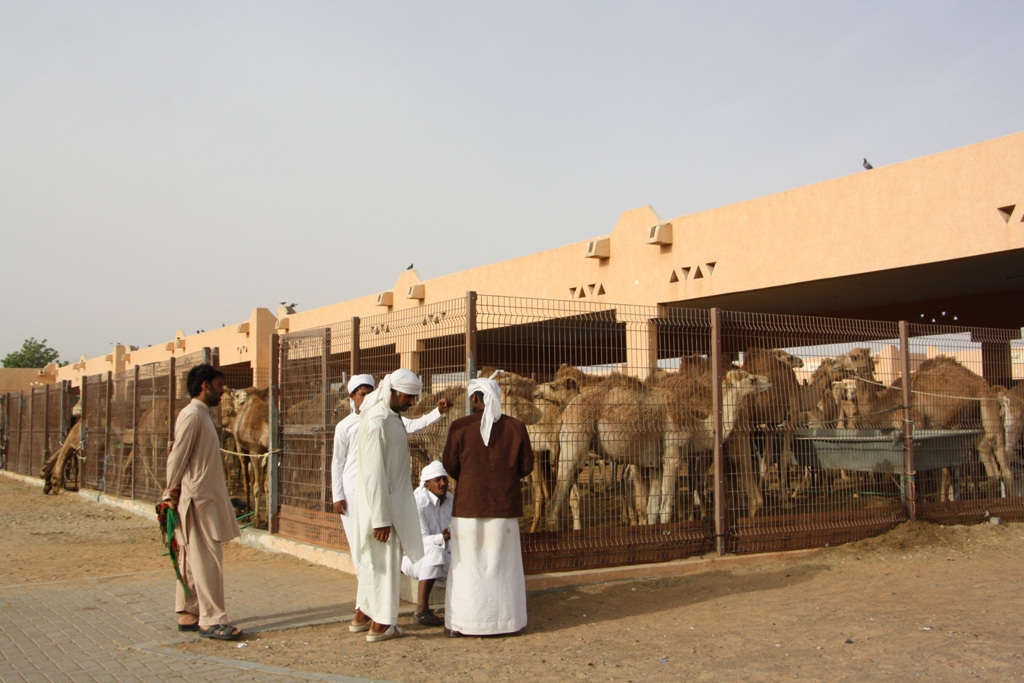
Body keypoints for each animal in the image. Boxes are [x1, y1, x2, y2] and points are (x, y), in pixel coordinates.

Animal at [544, 366, 774, 532]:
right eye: (751, 379)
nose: (768, 381)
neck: (696, 426)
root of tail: (565, 413)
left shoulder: (655, 465)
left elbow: (652, 509)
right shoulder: (672, 456)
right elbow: (665, 508)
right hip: (575, 444)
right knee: (555, 501)